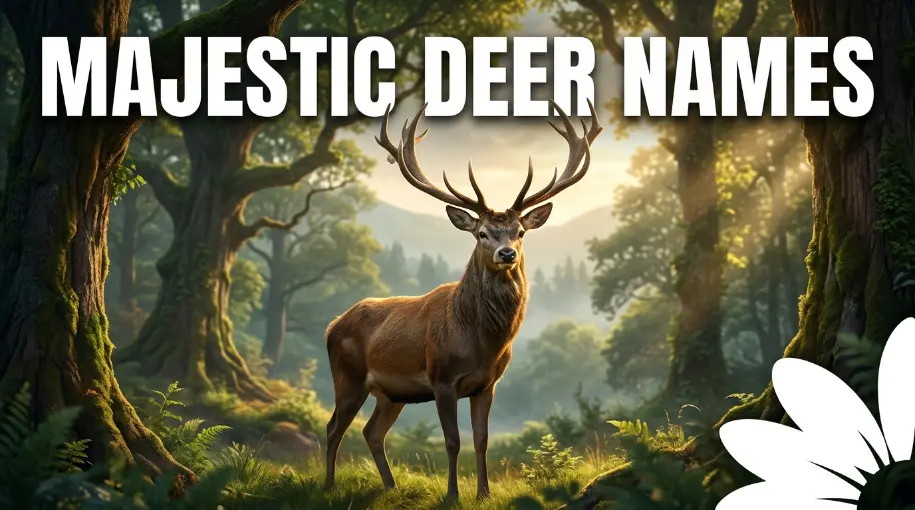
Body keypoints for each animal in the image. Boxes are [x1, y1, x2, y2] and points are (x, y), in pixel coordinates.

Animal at [322, 99, 603, 501]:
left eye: (520, 231)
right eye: (482, 233)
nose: (506, 253)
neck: (482, 342)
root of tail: (331, 325)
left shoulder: (487, 384)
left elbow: (481, 441)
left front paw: (484, 493)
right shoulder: (442, 377)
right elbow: (453, 441)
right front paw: (452, 495)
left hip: (392, 393)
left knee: (372, 431)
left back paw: (391, 487)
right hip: (348, 375)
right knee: (334, 427)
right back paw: (328, 484)